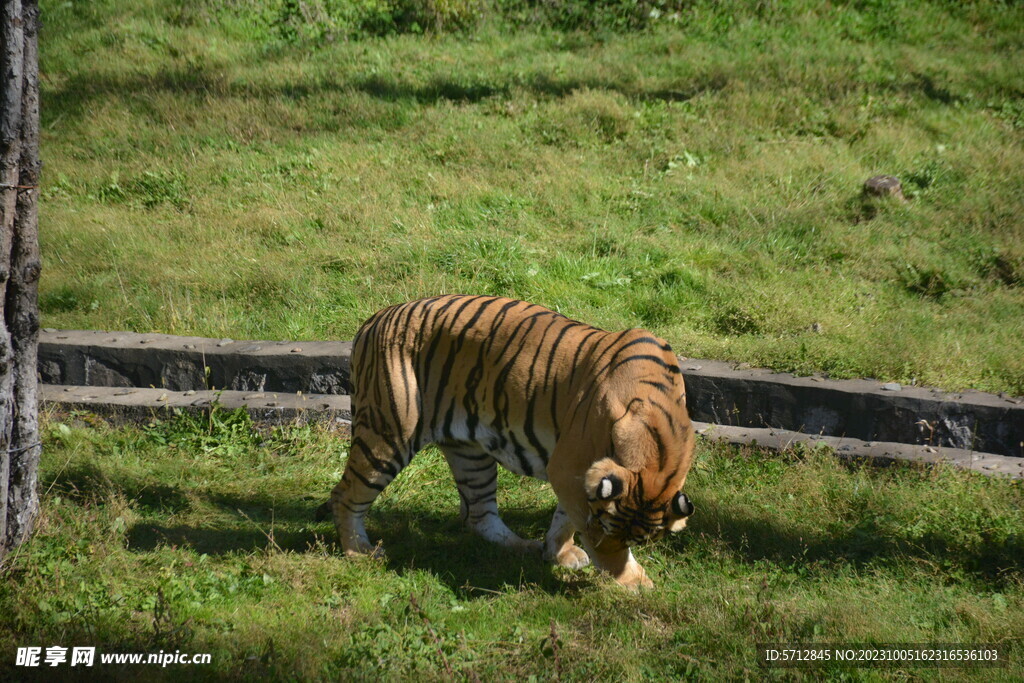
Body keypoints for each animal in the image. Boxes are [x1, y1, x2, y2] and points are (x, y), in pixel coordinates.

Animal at [327, 294, 696, 589]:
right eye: (604, 527)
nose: (602, 545)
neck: (662, 444)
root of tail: (374, 319)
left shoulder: (576, 478)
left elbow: (563, 519)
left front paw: (557, 553)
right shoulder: (570, 469)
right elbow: (576, 519)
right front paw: (634, 581)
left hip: (471, 454)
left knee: (479, 515)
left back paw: (522, 545)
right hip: (387, 432)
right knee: (345, 494)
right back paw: (359, 552)